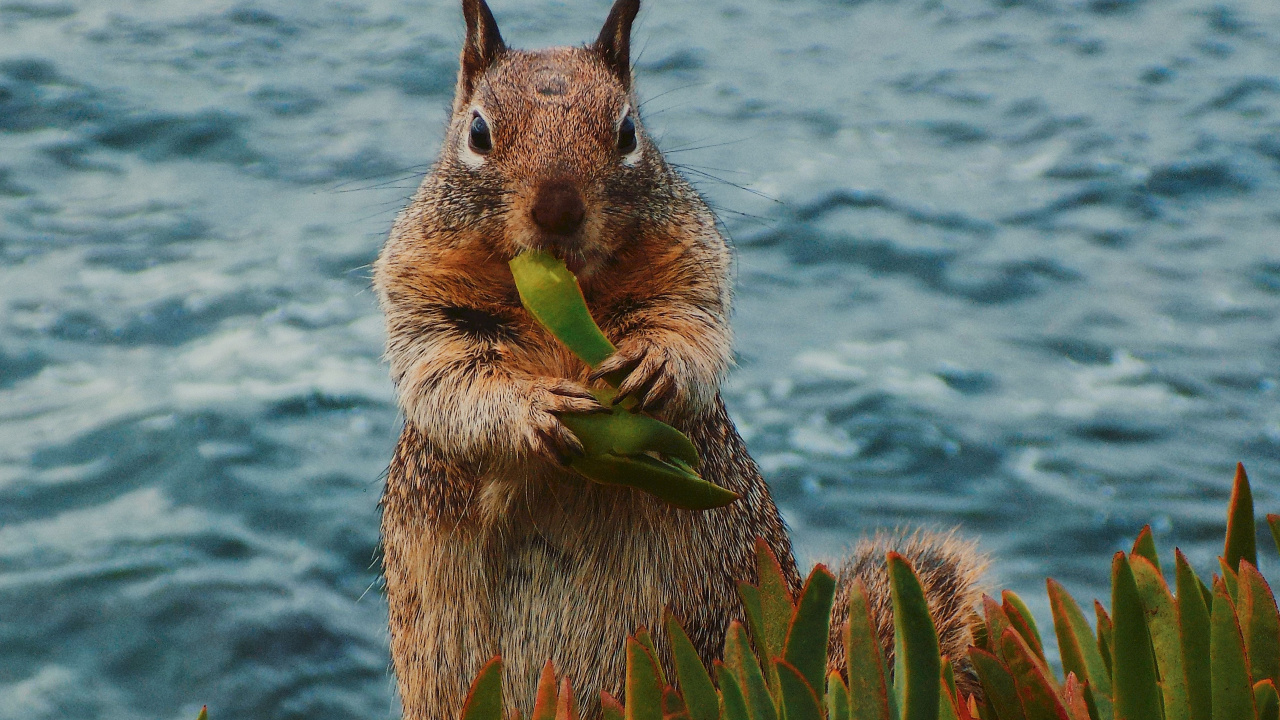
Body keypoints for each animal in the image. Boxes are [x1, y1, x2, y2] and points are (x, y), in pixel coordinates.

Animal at [373, 1, 987, 719]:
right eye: (477, 131)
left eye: (627, 131)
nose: (558, 209)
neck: (565, 301)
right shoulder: (421, 296)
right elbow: (446, 380)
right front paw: (535, 410)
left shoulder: (692, 266)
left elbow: (693, 331)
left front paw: (655, 365)